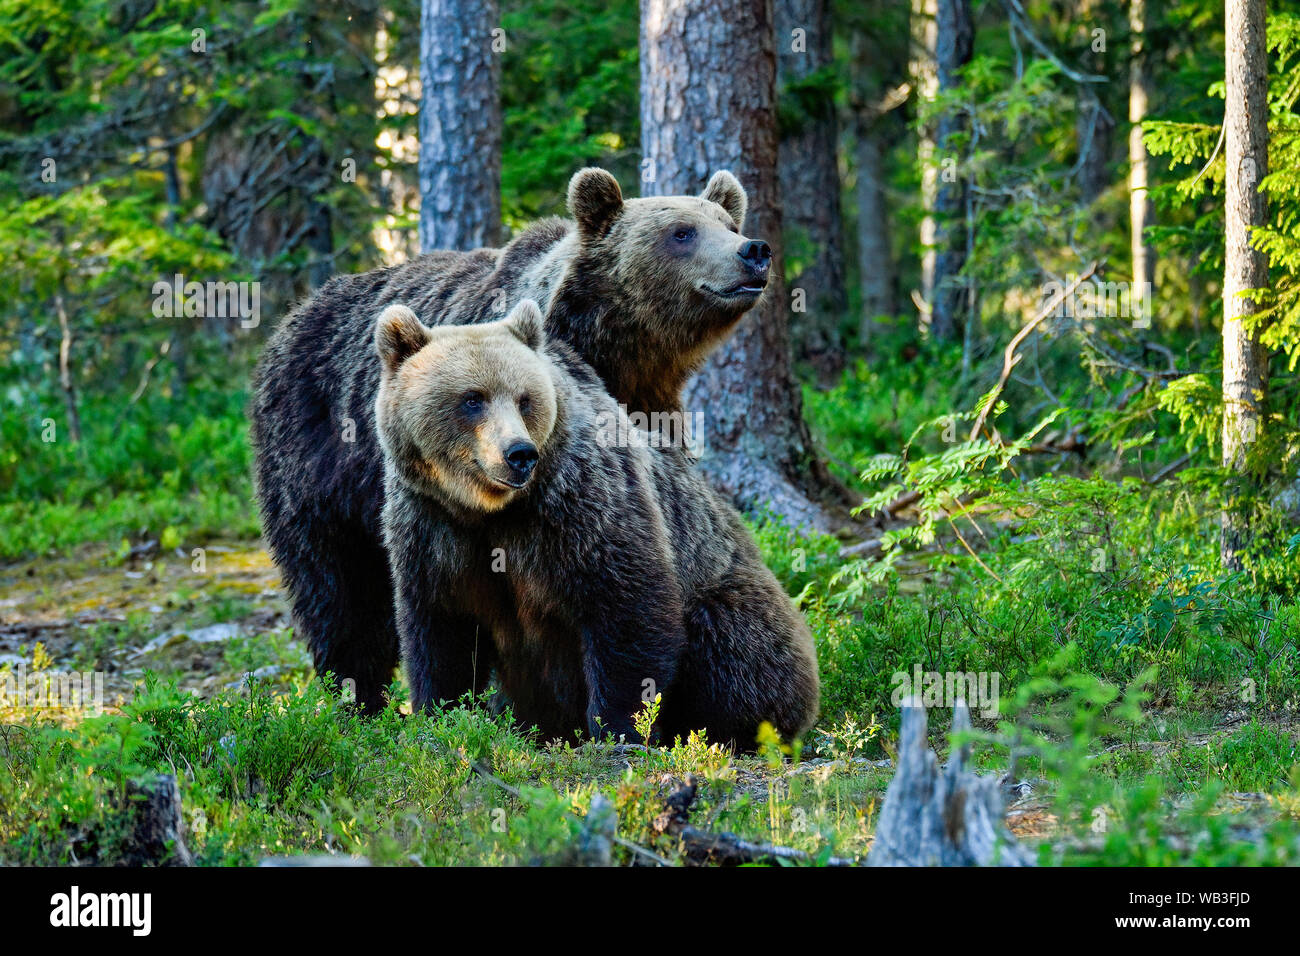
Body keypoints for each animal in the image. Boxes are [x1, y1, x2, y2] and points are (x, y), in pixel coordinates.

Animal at [252, 166, 780, 717]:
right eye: (682, 232)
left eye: (727, 222)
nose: (753, 250)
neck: (622, 354)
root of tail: (294, 315)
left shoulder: (654, 415)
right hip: (313, 457)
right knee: (336, 589)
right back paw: (356, 699)